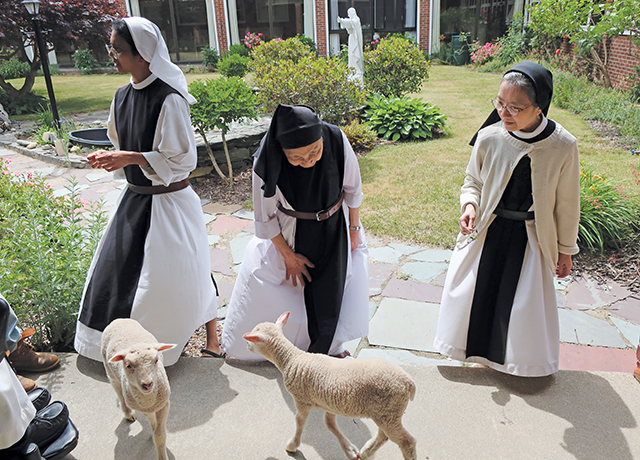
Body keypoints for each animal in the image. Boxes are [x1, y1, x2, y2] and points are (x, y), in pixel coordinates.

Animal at [103, 318, 178, 460]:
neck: (149, 400)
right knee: (119, 391)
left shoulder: (163, 405)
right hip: (111, 373)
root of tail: (118, 320)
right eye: (128, 365)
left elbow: (159, 435)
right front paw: (153, 430)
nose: (147, 384)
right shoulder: (145, 408)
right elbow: (154, 425)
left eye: (156, 360)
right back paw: (128, 414)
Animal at [242, 310, 418, 458]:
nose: (246, 346)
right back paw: (366, 452)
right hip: (386, 412)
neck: (292, 358)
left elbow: (299, 421)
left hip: (388, 412)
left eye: (252, 338)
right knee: (384, 435)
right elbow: (329, 424)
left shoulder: (302, 400)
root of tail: (409, 383)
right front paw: (350, 450)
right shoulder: (330, 403)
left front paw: (292, 445)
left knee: (407, 442)